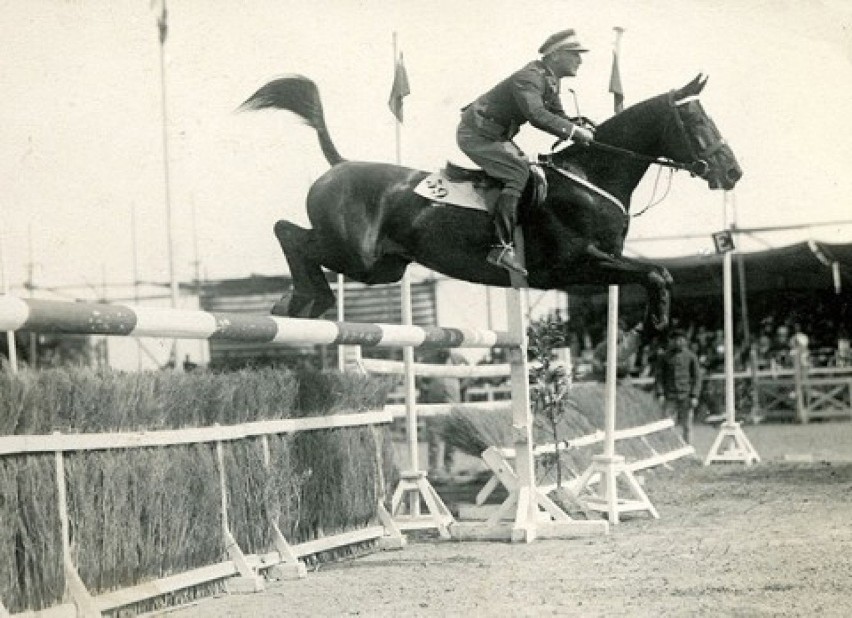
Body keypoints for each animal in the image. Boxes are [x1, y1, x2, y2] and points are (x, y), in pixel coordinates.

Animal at [238, 74, 740, 330]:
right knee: (290, 234)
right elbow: (655, 271)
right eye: (697, 122)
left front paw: (651, 321)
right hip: (354, 254)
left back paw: (299, 303)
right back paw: (303, 300)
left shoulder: (599, 265)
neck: (589, 178)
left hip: (384, 267)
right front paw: (656, 319)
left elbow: (655, 271)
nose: (732, 172)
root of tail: (339, 165)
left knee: (301, 241)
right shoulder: (575, 265)